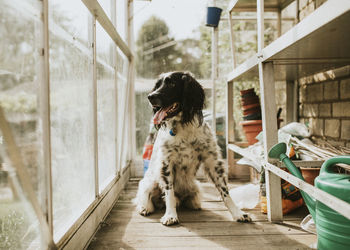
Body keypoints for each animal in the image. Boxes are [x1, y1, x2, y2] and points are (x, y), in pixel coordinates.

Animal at [134, 71, 252, 226]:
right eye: (158, 85)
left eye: (172, 83)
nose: (150, 96)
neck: (183, 125)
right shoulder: (166, 163)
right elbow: (169, 193)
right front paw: (170, 215)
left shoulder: (212, 161)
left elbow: (225, 191)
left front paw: (238, 213)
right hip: (151, 181)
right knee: (147, 196)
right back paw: (145, 207)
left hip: (195, 187)